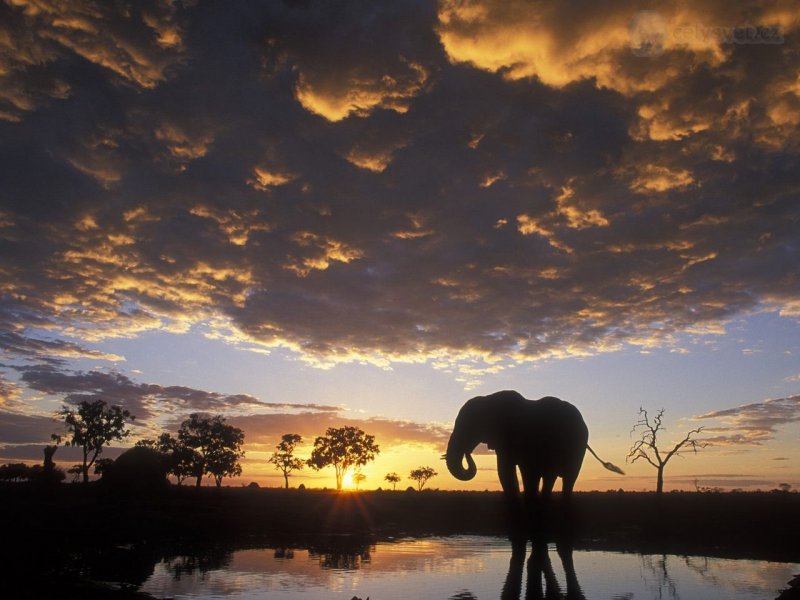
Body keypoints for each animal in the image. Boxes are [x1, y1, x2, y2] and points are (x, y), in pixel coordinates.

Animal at [446, 394, 620, 528]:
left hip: (576, 449)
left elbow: (523, 472)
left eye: (468, 427)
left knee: (565, 479)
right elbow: (506, 471)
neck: (489, 399)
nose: (468, 453)